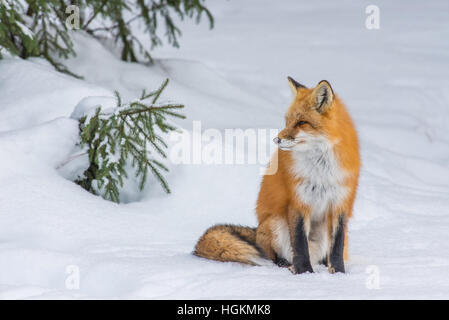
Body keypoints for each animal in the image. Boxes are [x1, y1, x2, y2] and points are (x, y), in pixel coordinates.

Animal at [194, 77, 358, 272]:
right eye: (287, 121)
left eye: (301, 122)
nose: (276, 140)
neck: (321, 170)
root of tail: (257, 230)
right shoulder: (298, 201)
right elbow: (300, 244)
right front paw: (305, 273)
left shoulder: (340, 203)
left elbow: (337, 247)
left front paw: (339, 273)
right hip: (276, 223)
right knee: (275, 254)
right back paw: (286, 264)